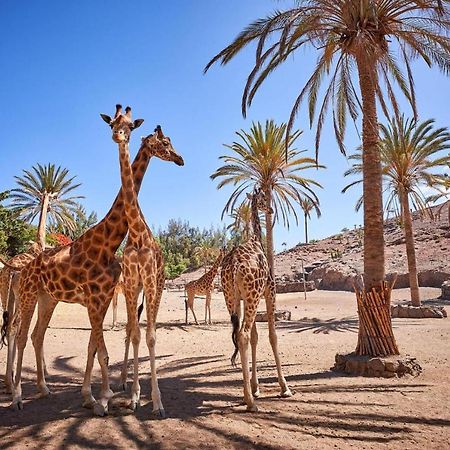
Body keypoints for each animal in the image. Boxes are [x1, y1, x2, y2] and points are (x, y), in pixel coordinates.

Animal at [6, 108, 158, 414]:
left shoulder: (102, 298)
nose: (118, 136)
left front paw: (91, 397)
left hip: (47, 298)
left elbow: (94, 347)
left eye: (130, 126)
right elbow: (101, 351)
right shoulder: (94, 298)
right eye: (112, 123)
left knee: (36, 335)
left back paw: (44, 389)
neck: (107, 243)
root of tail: (22, 269)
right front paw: (103, 399)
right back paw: (16, 396)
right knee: (19, 334)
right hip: (27, 295)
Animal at [101, 104, 184, 414]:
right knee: (131, 330)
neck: (136, 232)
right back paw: (126, 384)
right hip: (135, 288)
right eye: (166, 142)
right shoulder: (132, 281)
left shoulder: (148, 279)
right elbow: (136, 334)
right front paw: (136, 396)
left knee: (150, 330)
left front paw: (157, 403)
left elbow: (150, 336)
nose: (180, 158)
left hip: (156, 287)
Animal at [221, 188, 292, 414]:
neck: (256, 239)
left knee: (240, 335)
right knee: (242, 334)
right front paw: (285, 387)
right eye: (263, 198)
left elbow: (255, 337)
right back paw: (250, 403)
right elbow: (272, 336)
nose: (270, 209)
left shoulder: (245, 298)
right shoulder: (269, 292)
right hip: (252, 295)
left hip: (231, 297)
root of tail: (234, 266)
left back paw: (248, 396)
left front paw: (255, 387)